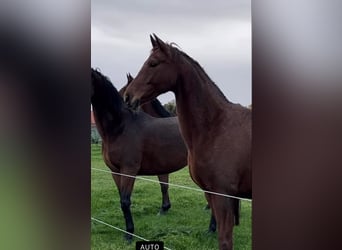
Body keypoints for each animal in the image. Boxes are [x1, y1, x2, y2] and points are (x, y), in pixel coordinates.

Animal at [90, 68, 187, 242]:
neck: (120, 127)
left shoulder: (129, 170)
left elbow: (125, 201)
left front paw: (129, 233)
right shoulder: (115, 171)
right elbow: (123, 198)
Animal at [124, 33, 250, 250]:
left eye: (153, 63)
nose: (128, 97)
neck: (216, 126)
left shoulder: (223, 196)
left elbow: (225, 241)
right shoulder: (212, 194)